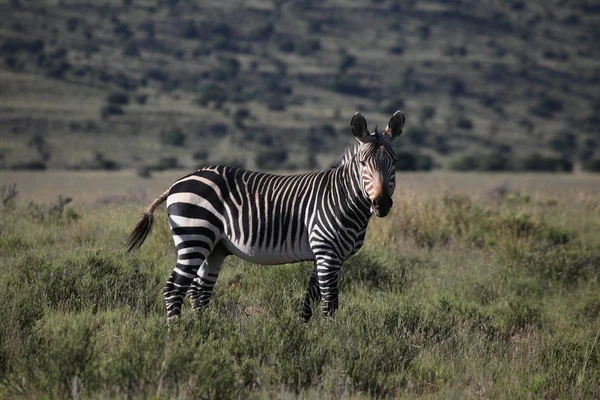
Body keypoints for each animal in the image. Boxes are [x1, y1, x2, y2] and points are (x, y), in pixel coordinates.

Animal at [127, 110, 406, 322]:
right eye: (362, 163)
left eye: (394, 161)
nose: (381, 204)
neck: (343, 198)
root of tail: (179, 182)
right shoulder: (327, 252)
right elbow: (330, 303)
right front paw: (332, 339)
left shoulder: (325, 255)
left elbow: (309, 299)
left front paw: (305, 333)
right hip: (194, 236)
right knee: (174, 287)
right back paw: (177, 333)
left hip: (214, 247)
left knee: (200, 291)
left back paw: (202, 333)